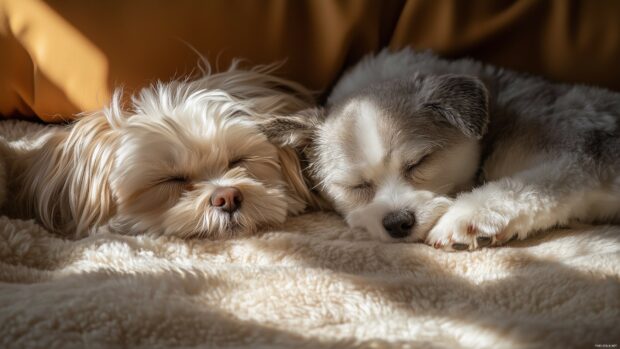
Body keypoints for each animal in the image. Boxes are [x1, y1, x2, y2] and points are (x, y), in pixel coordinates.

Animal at [262, 49, 620, 250]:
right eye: (356, 186)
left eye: (419, 162)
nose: (397, 223)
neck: (498, 119)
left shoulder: (573, 153)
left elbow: (526, 187)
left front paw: (467, 218)